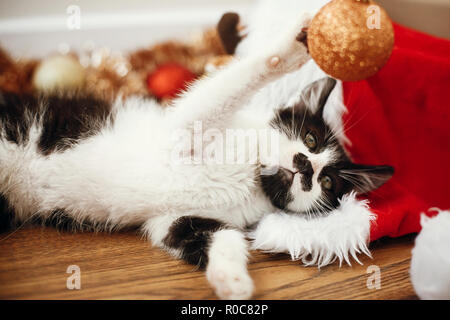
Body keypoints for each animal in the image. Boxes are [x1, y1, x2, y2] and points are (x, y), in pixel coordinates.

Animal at [0, 12, 390, 298]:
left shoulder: (172, 218)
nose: (306, 167)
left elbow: (216, 235)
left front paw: (232, 280)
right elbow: (229, 85)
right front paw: (292, 46)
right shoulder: (184, 129)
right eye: (310, 139)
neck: (252, 176)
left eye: (328, 182)